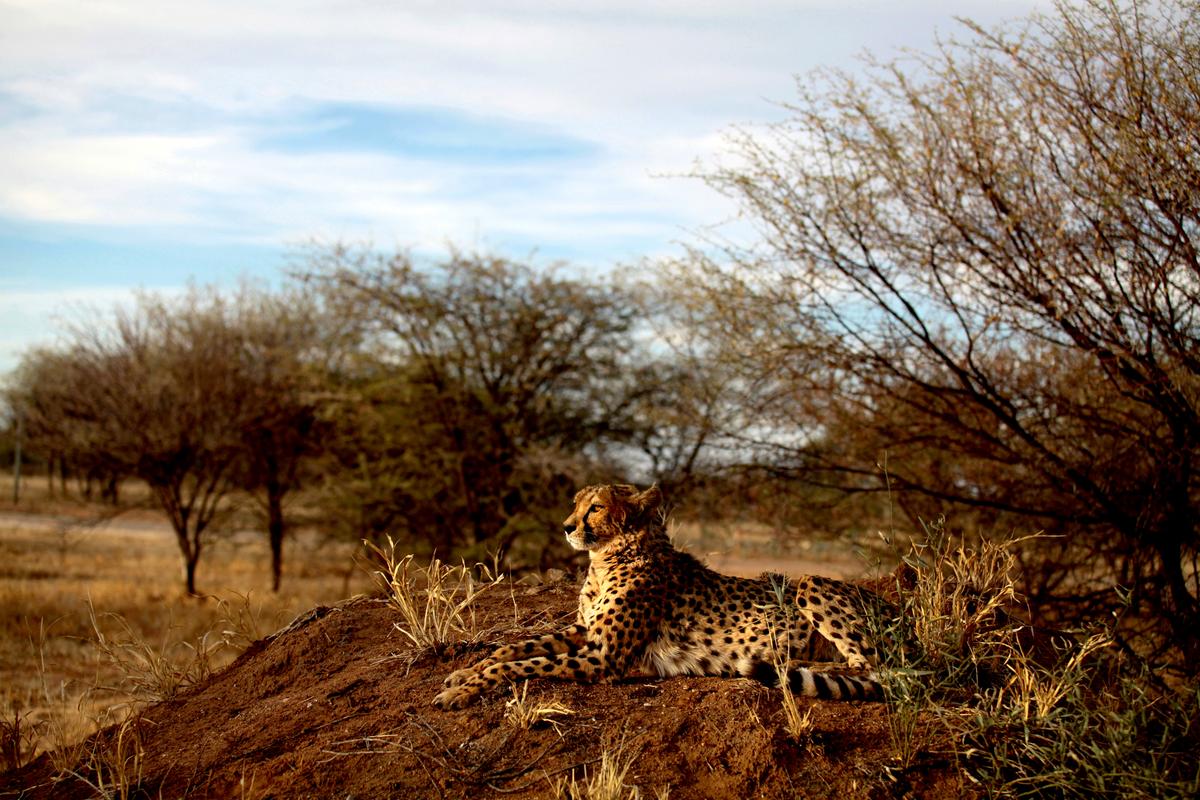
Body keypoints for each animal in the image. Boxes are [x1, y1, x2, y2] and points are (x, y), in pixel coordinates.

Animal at [433, 483, 888, 710]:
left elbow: (521, 665)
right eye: (575, 504)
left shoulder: (605, 658)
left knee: (872, 667)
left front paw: (459, 691)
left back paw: (784, 663)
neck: (609, 556)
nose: (566, 526)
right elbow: (515, 648)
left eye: (595, 508)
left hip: (810, 582)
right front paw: (463, 673)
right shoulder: (583, 632)